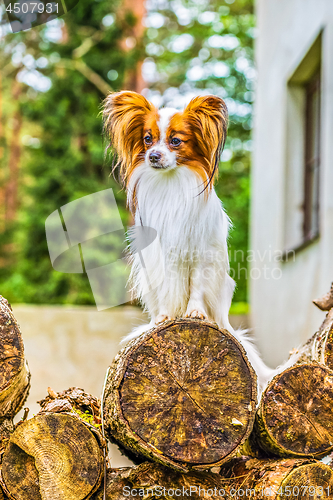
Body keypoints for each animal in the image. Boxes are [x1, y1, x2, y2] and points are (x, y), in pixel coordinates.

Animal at [102, 92, 274, 392]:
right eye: (148, 139)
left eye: (175, 141)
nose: (153, 156)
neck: (172, 184)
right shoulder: (159, 258)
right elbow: (165, 292)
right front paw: (163, 317)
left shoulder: (201, 254)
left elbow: (197, 287)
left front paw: (194, 313)